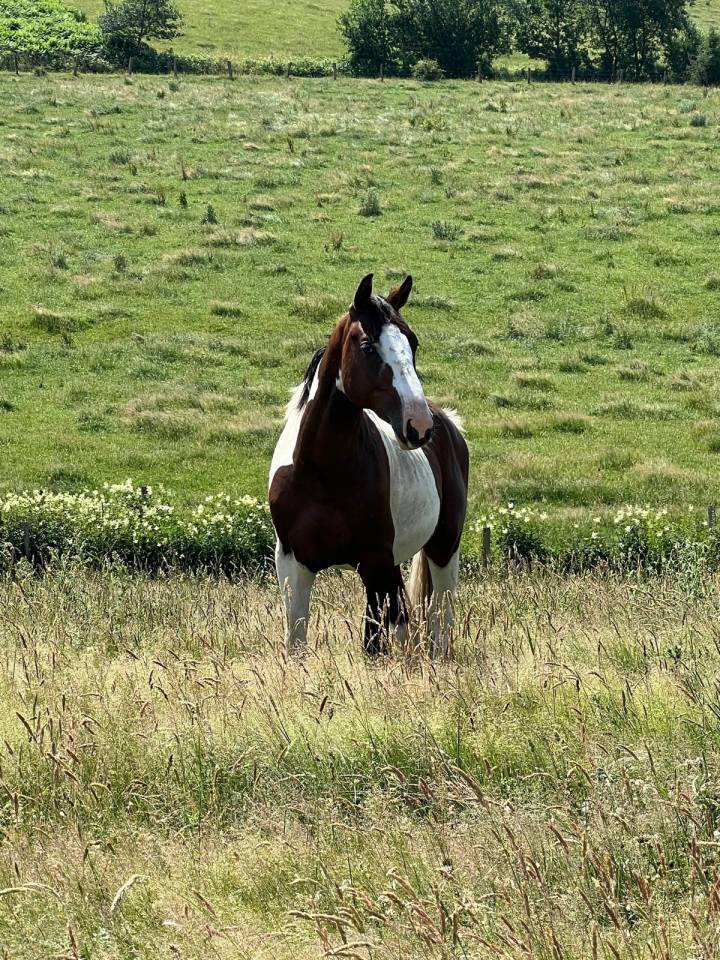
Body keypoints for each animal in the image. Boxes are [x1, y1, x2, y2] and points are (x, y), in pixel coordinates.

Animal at [268, 273, 469, 657]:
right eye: (368, 347)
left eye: (412, 343)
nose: (418, 425)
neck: (323, 472)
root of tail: (449, 422)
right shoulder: (292, 564)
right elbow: (295, 641)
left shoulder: (373, 563)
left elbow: (374, 645)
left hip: (442, 548)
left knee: (439, 618)